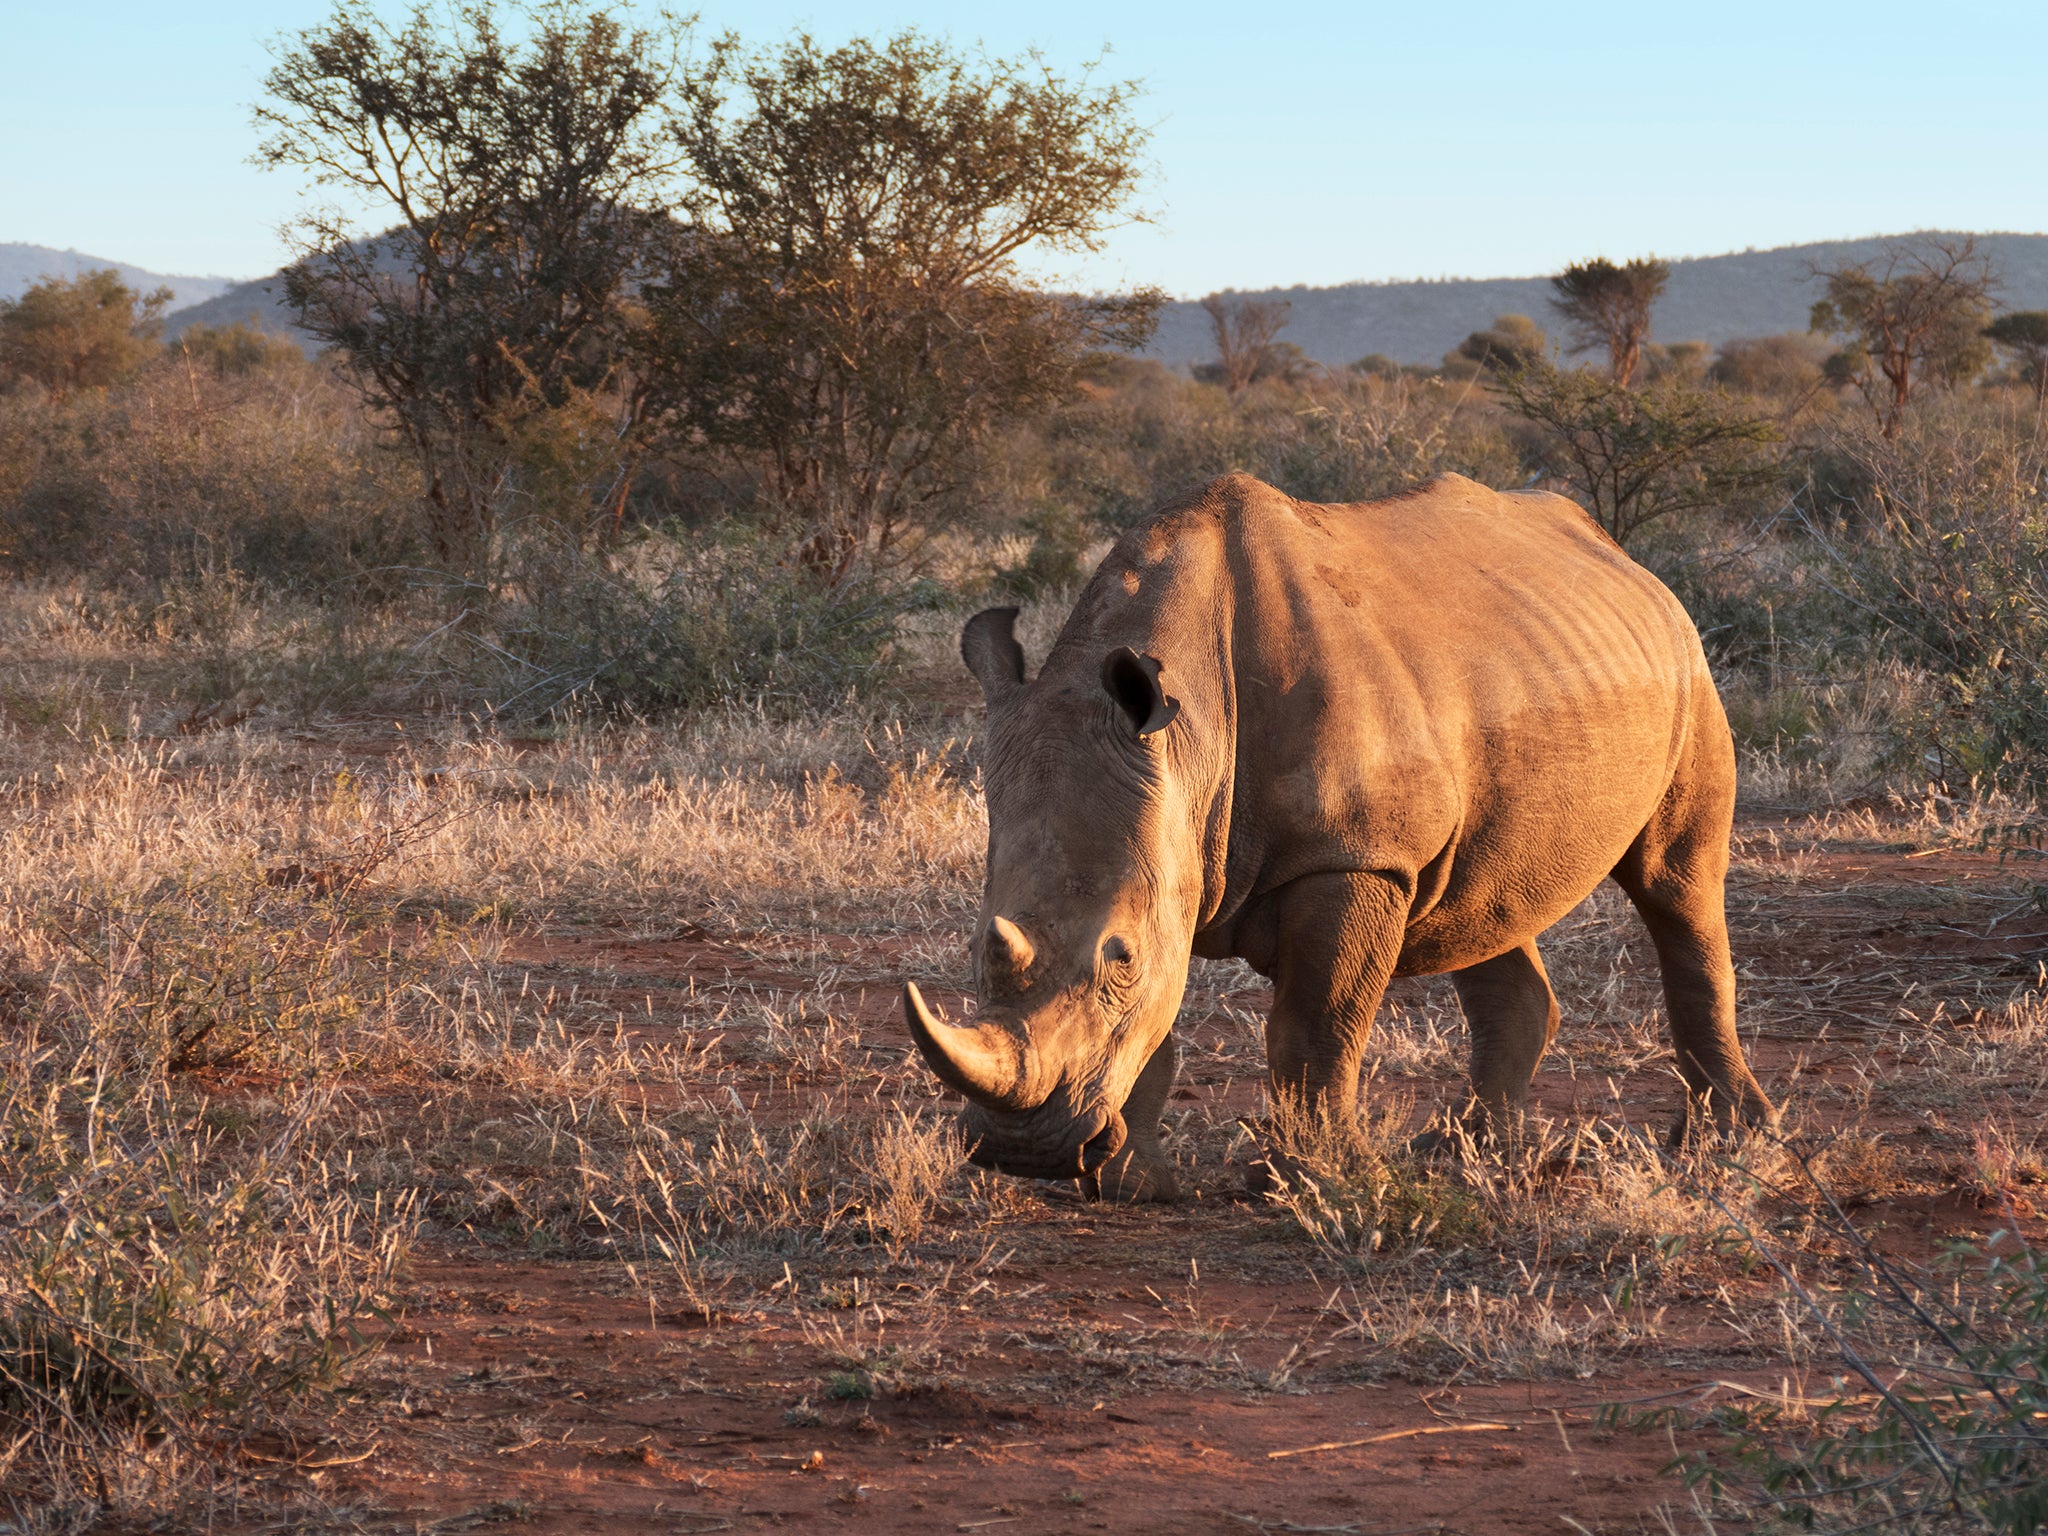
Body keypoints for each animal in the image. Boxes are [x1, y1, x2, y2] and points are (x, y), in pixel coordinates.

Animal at [904, 472, 1775, 1201]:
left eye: (1120, 960)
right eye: (978, 948)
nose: (1023, 1151)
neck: (1190, 739)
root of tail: (1627, 561)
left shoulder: (1355, 856)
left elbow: (1317, 1021)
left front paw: (1319, 1180)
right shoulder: (1166, 850)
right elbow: (1160, 1029)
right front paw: (1133, 1185)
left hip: (1687, 665)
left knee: (1676, 886)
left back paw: (1724, 1146)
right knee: (1486, 905)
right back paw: (1461, 1152)